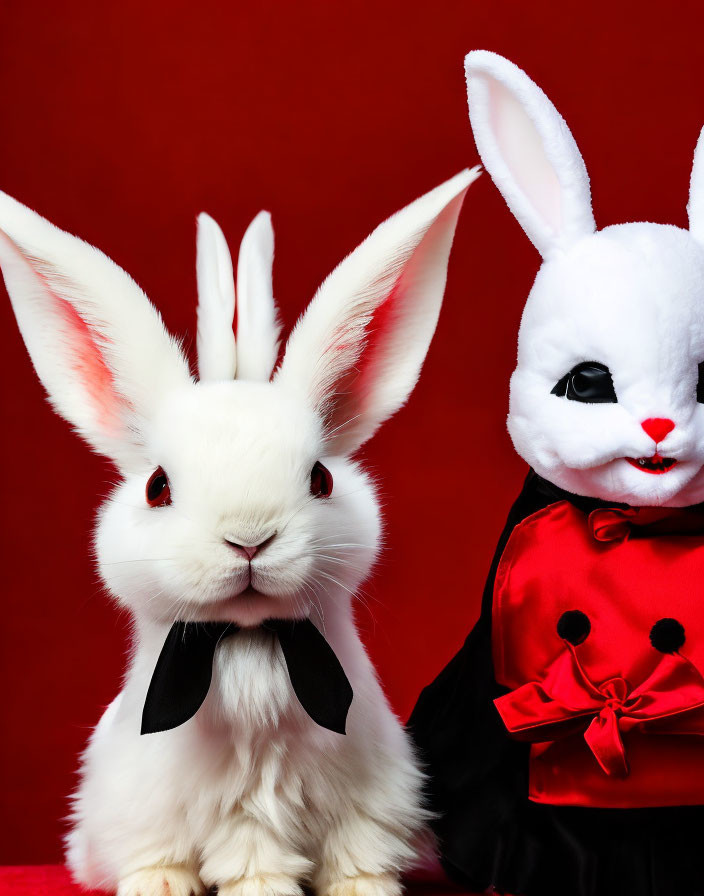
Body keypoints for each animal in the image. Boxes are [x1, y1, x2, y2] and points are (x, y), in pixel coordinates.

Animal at [0, 170, 478, 896]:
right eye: (157, 486)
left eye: (320, 479)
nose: (249, 540)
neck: (250, 642)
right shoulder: (222, 811)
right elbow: (249, 857)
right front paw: (257, 889)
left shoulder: (373, 794)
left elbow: (358, 847)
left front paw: (365, 887)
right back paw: (160, 884)